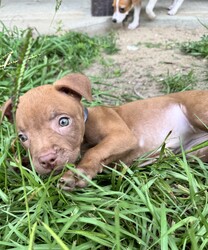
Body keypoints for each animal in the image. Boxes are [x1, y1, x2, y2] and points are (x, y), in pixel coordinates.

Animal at [1, 73, 208, 190]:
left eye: (64, 121)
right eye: (22, 137)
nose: (47, 160)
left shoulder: (121, 136)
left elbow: (95, 151)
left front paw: (78, 173)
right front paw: (17, 162)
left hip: (198, 112)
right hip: (196, 152)